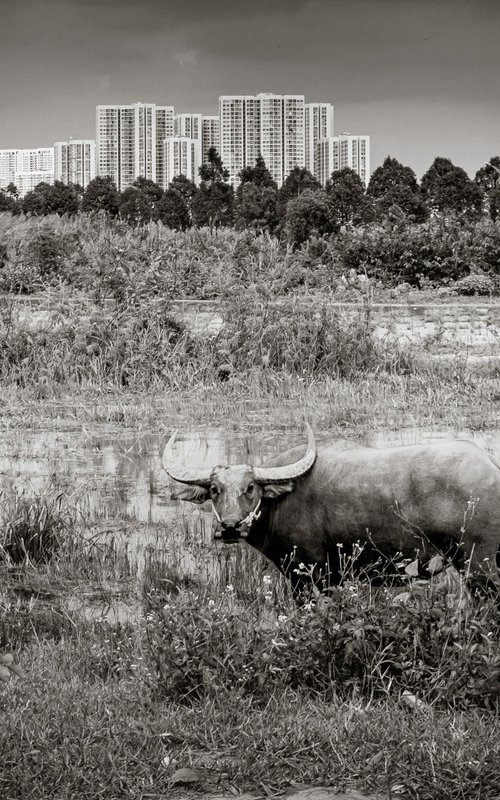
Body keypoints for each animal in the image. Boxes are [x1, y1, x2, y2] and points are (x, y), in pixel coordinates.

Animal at [162, 425, 500, 596]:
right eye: (215, 490)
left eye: (250, 487)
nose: (231, 526)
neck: (281, 501)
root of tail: (490, 462)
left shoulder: (310, 574)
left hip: (479, 567)